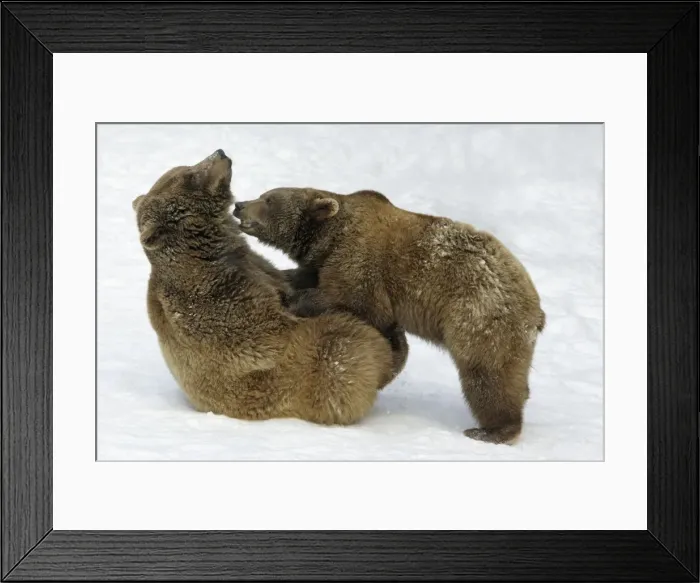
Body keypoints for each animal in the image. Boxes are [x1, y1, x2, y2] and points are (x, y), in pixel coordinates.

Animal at [132, 150, 403, 426]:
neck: (208, 252)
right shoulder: (222, 304)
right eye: (189, 175)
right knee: (342, 349)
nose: (220, 154)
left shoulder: (255, 267)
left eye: (185, 167)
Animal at [234, 187, 546, 445]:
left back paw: (491, 430)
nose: (239, 204)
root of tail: (535, 307)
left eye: (268, 199)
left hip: (480, 314)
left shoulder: (360, 263)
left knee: (486, 374)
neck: (329, 237)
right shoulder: (322, 264)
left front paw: (292, 299)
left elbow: (349, 298)